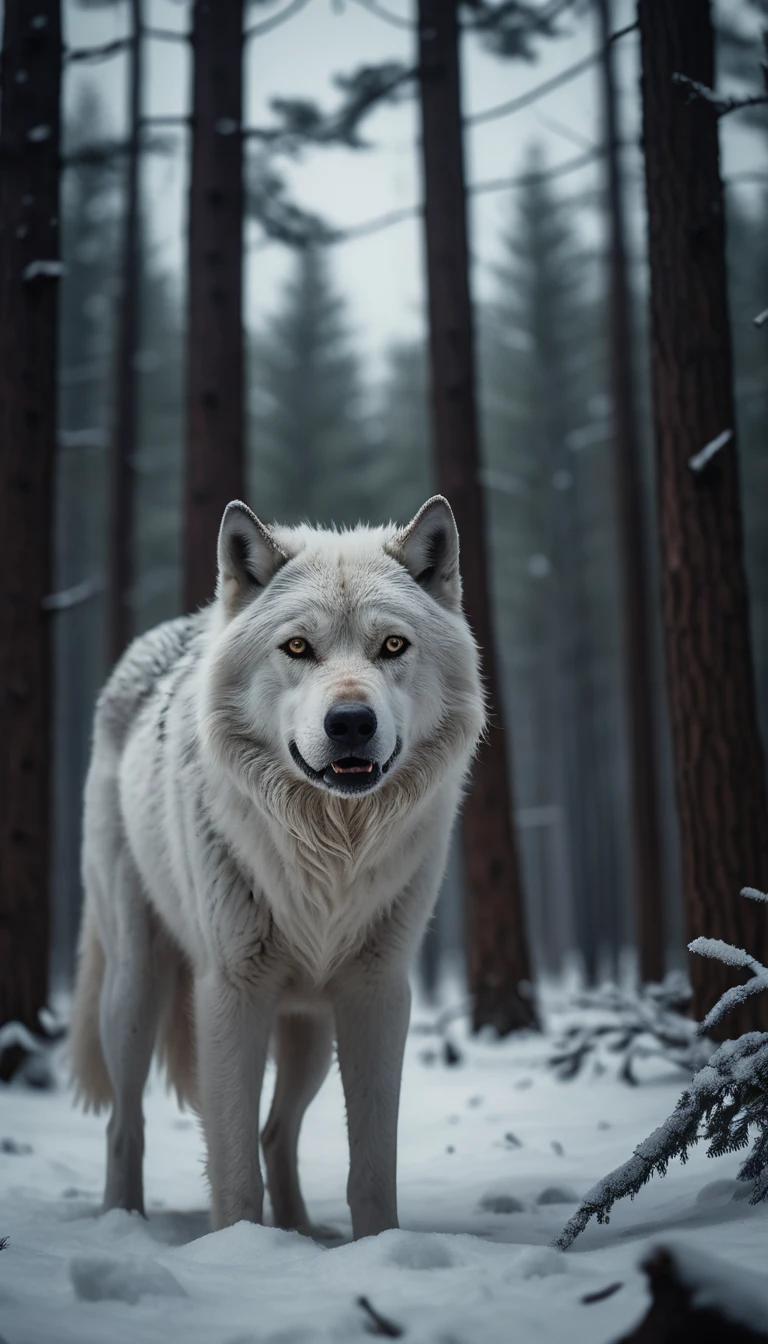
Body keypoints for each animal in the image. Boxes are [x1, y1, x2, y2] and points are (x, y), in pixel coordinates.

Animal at [70, 494, 485, 1240]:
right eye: (297, 647)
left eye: (392, 646)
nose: (350, 722)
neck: (329, 853)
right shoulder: (232, 992)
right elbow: (234, 1170)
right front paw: (239, 1247)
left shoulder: (377, 993)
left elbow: (370, 1169)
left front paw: (375, 1247)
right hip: (135, 987)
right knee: (126, 1124)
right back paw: (124, 1222)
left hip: (310, 1030)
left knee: (276, 1133)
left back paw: (299, 1234)